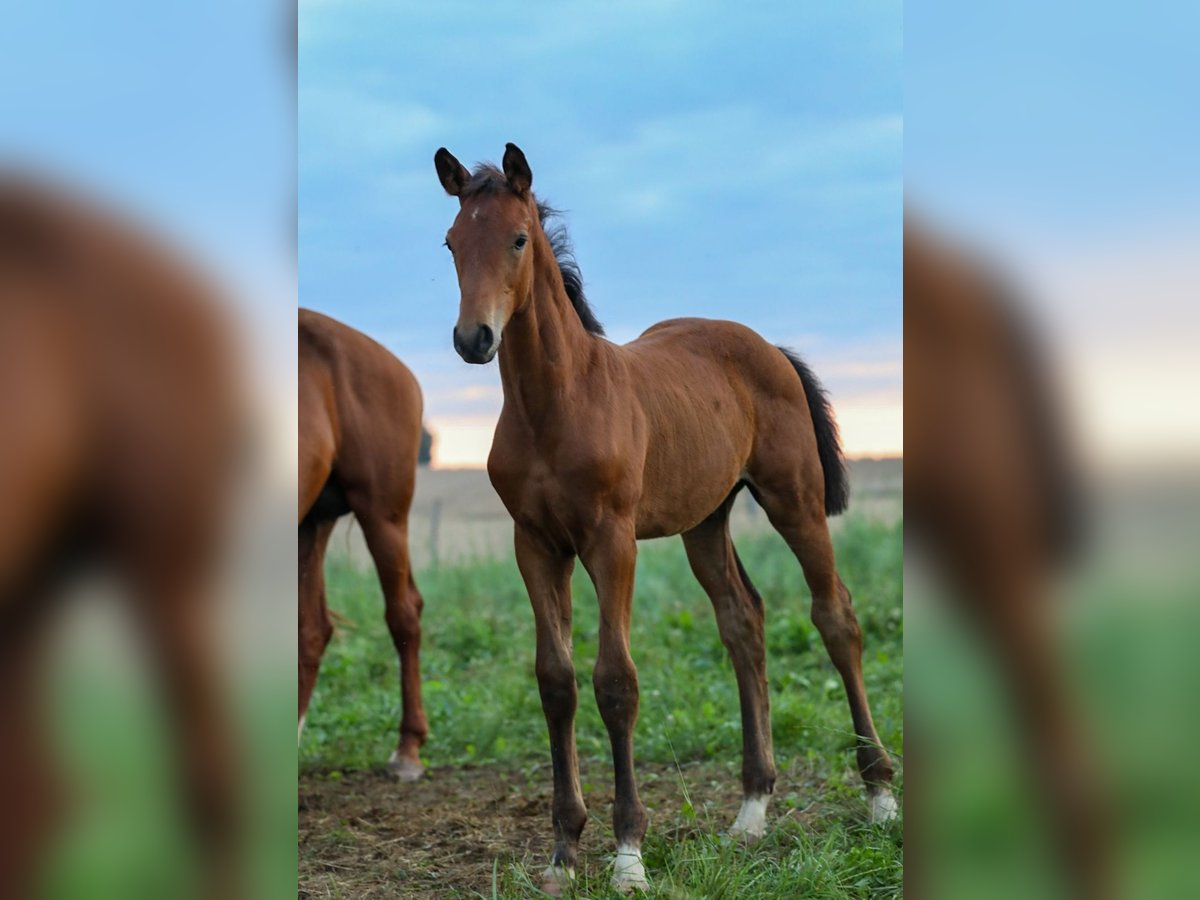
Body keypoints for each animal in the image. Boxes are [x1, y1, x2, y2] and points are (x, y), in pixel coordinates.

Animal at [433, 143, 898, 893]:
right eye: (449, 242)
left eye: (518, 238)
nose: (473, 338)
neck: (555, 403)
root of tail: (769, 346)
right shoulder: (535, 545)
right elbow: (556, 682)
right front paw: (562, 854)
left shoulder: (611, 541)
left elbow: (615, 682)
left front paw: (628, 856)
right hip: (704, 521)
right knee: (743, 622)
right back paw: (751, 811)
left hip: (794, 500)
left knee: (837, 617)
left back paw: (880, 795)